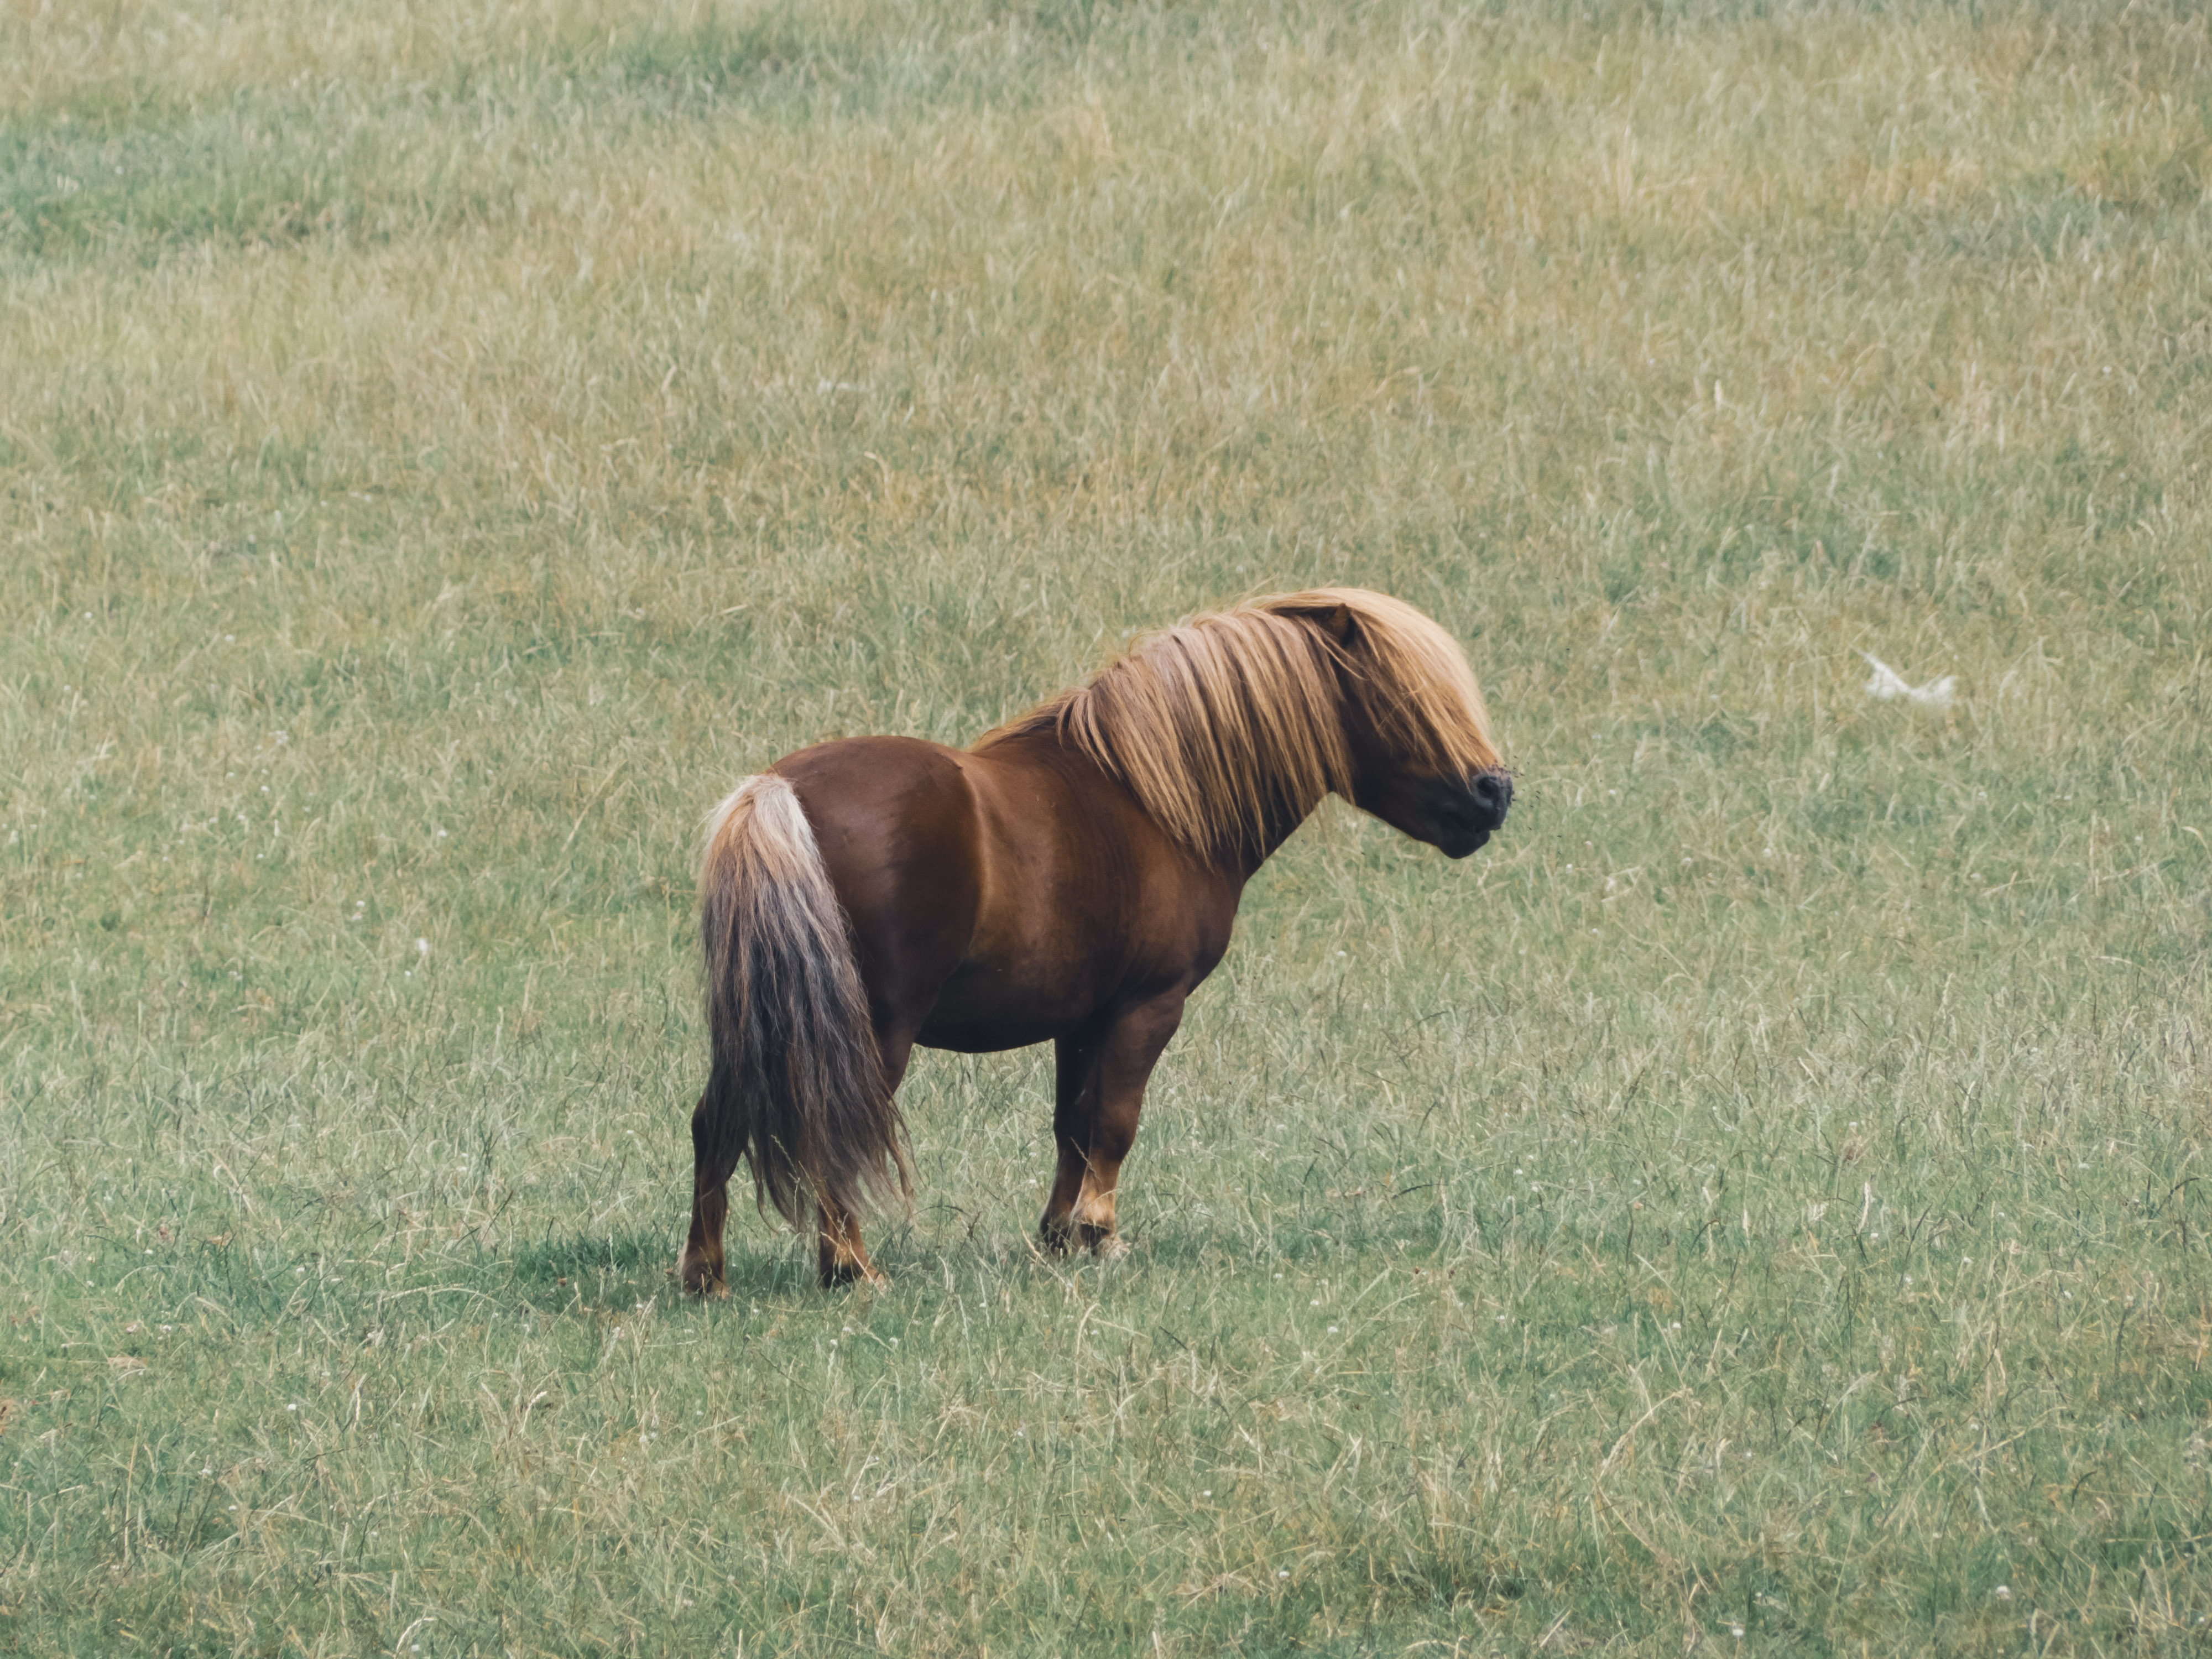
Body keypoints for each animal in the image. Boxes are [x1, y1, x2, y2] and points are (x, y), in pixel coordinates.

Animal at [679, 587, 1511, 1291]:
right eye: (1408, 699)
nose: (1494, 793)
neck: (1150, 799)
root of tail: (776, 792)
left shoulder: (1082, 1018)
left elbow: (1071, 1125)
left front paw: (1058, 1236)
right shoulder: (1148, 1006)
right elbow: (1115, 1120)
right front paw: (1100, 1234)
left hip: (761, 1023)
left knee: (715, 1122)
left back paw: (706, 1275)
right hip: (873, 1033)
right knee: (833, 1127)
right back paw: (852, 1268)